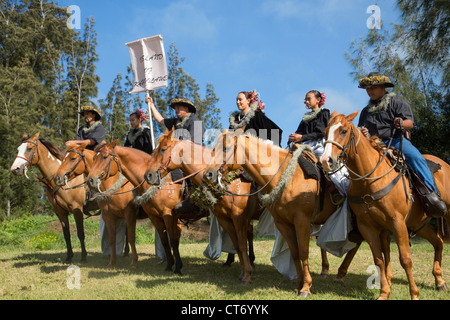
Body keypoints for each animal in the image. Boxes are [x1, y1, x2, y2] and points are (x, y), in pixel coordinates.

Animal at [10, 132, 88, 262]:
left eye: (29, 148)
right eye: (18, 149)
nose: (15, 169)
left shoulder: (77, 209)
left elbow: (80, 233)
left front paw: (83, 256)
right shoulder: (60, 212)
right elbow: (66, 234)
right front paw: (69, 256)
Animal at [85, 141, 187, 276]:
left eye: (104, 157)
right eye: (93, 158)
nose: (90, 180)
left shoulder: (135, 214)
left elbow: (132, 238)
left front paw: (134, 262)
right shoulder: (110, 216)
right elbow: (112, 239)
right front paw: (112, 263)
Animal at [143, 129, 268, 284]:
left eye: (163, 149)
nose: (148, 175)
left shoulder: (239, 217)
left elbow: (241, 244)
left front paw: (247, 275)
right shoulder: (224, 218)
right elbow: (237, 245)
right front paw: (243, 272)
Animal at [202, 128, 340, 298]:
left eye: (226, 148)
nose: (208, 174)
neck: (288, 177)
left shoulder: (302, 220)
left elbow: (303, 252)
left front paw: (306, 287)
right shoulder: (282, 223)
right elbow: (295, 253)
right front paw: (299, 284)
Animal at [320, 110, 450, 300]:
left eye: (343, 131)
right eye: (325, 132)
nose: (325, 161)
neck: (369, 178)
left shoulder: (397, 222)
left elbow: (405, 259)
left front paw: (414, 294)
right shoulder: (368, 226)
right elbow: (379, 259)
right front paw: (384, 292)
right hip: (419, 223)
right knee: (438, 242)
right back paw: (440, 281)